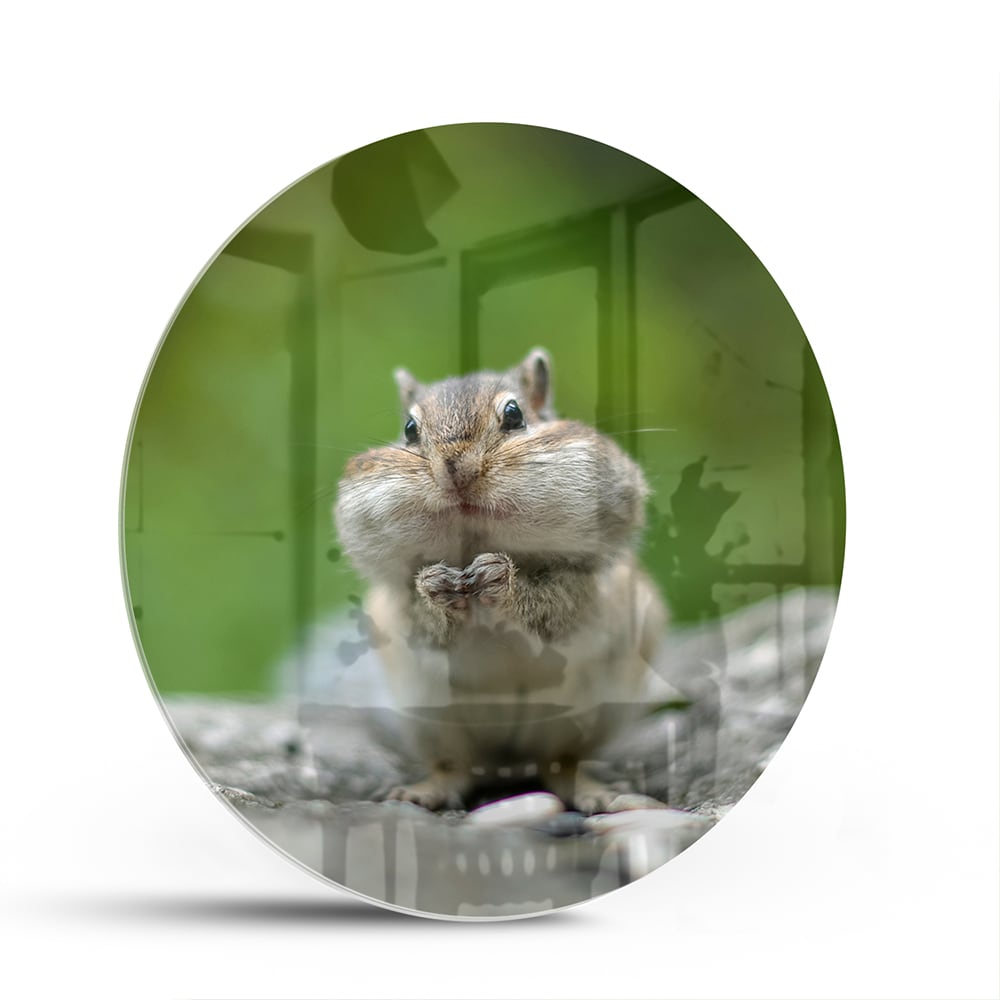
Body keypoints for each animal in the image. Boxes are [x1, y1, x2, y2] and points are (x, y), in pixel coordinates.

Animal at [333, 348, 668, 814]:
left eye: (514, 414)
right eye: (409, 429)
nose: (455, 468)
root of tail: (507, 761)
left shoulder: (587, 583)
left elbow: (554, 605)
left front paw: (499, 580)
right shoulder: (394, 604)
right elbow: (421, 618)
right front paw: (435, 587)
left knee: (561, 763)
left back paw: (596, 793)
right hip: (433, 719)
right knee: (455, 766)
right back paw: (422, 791)